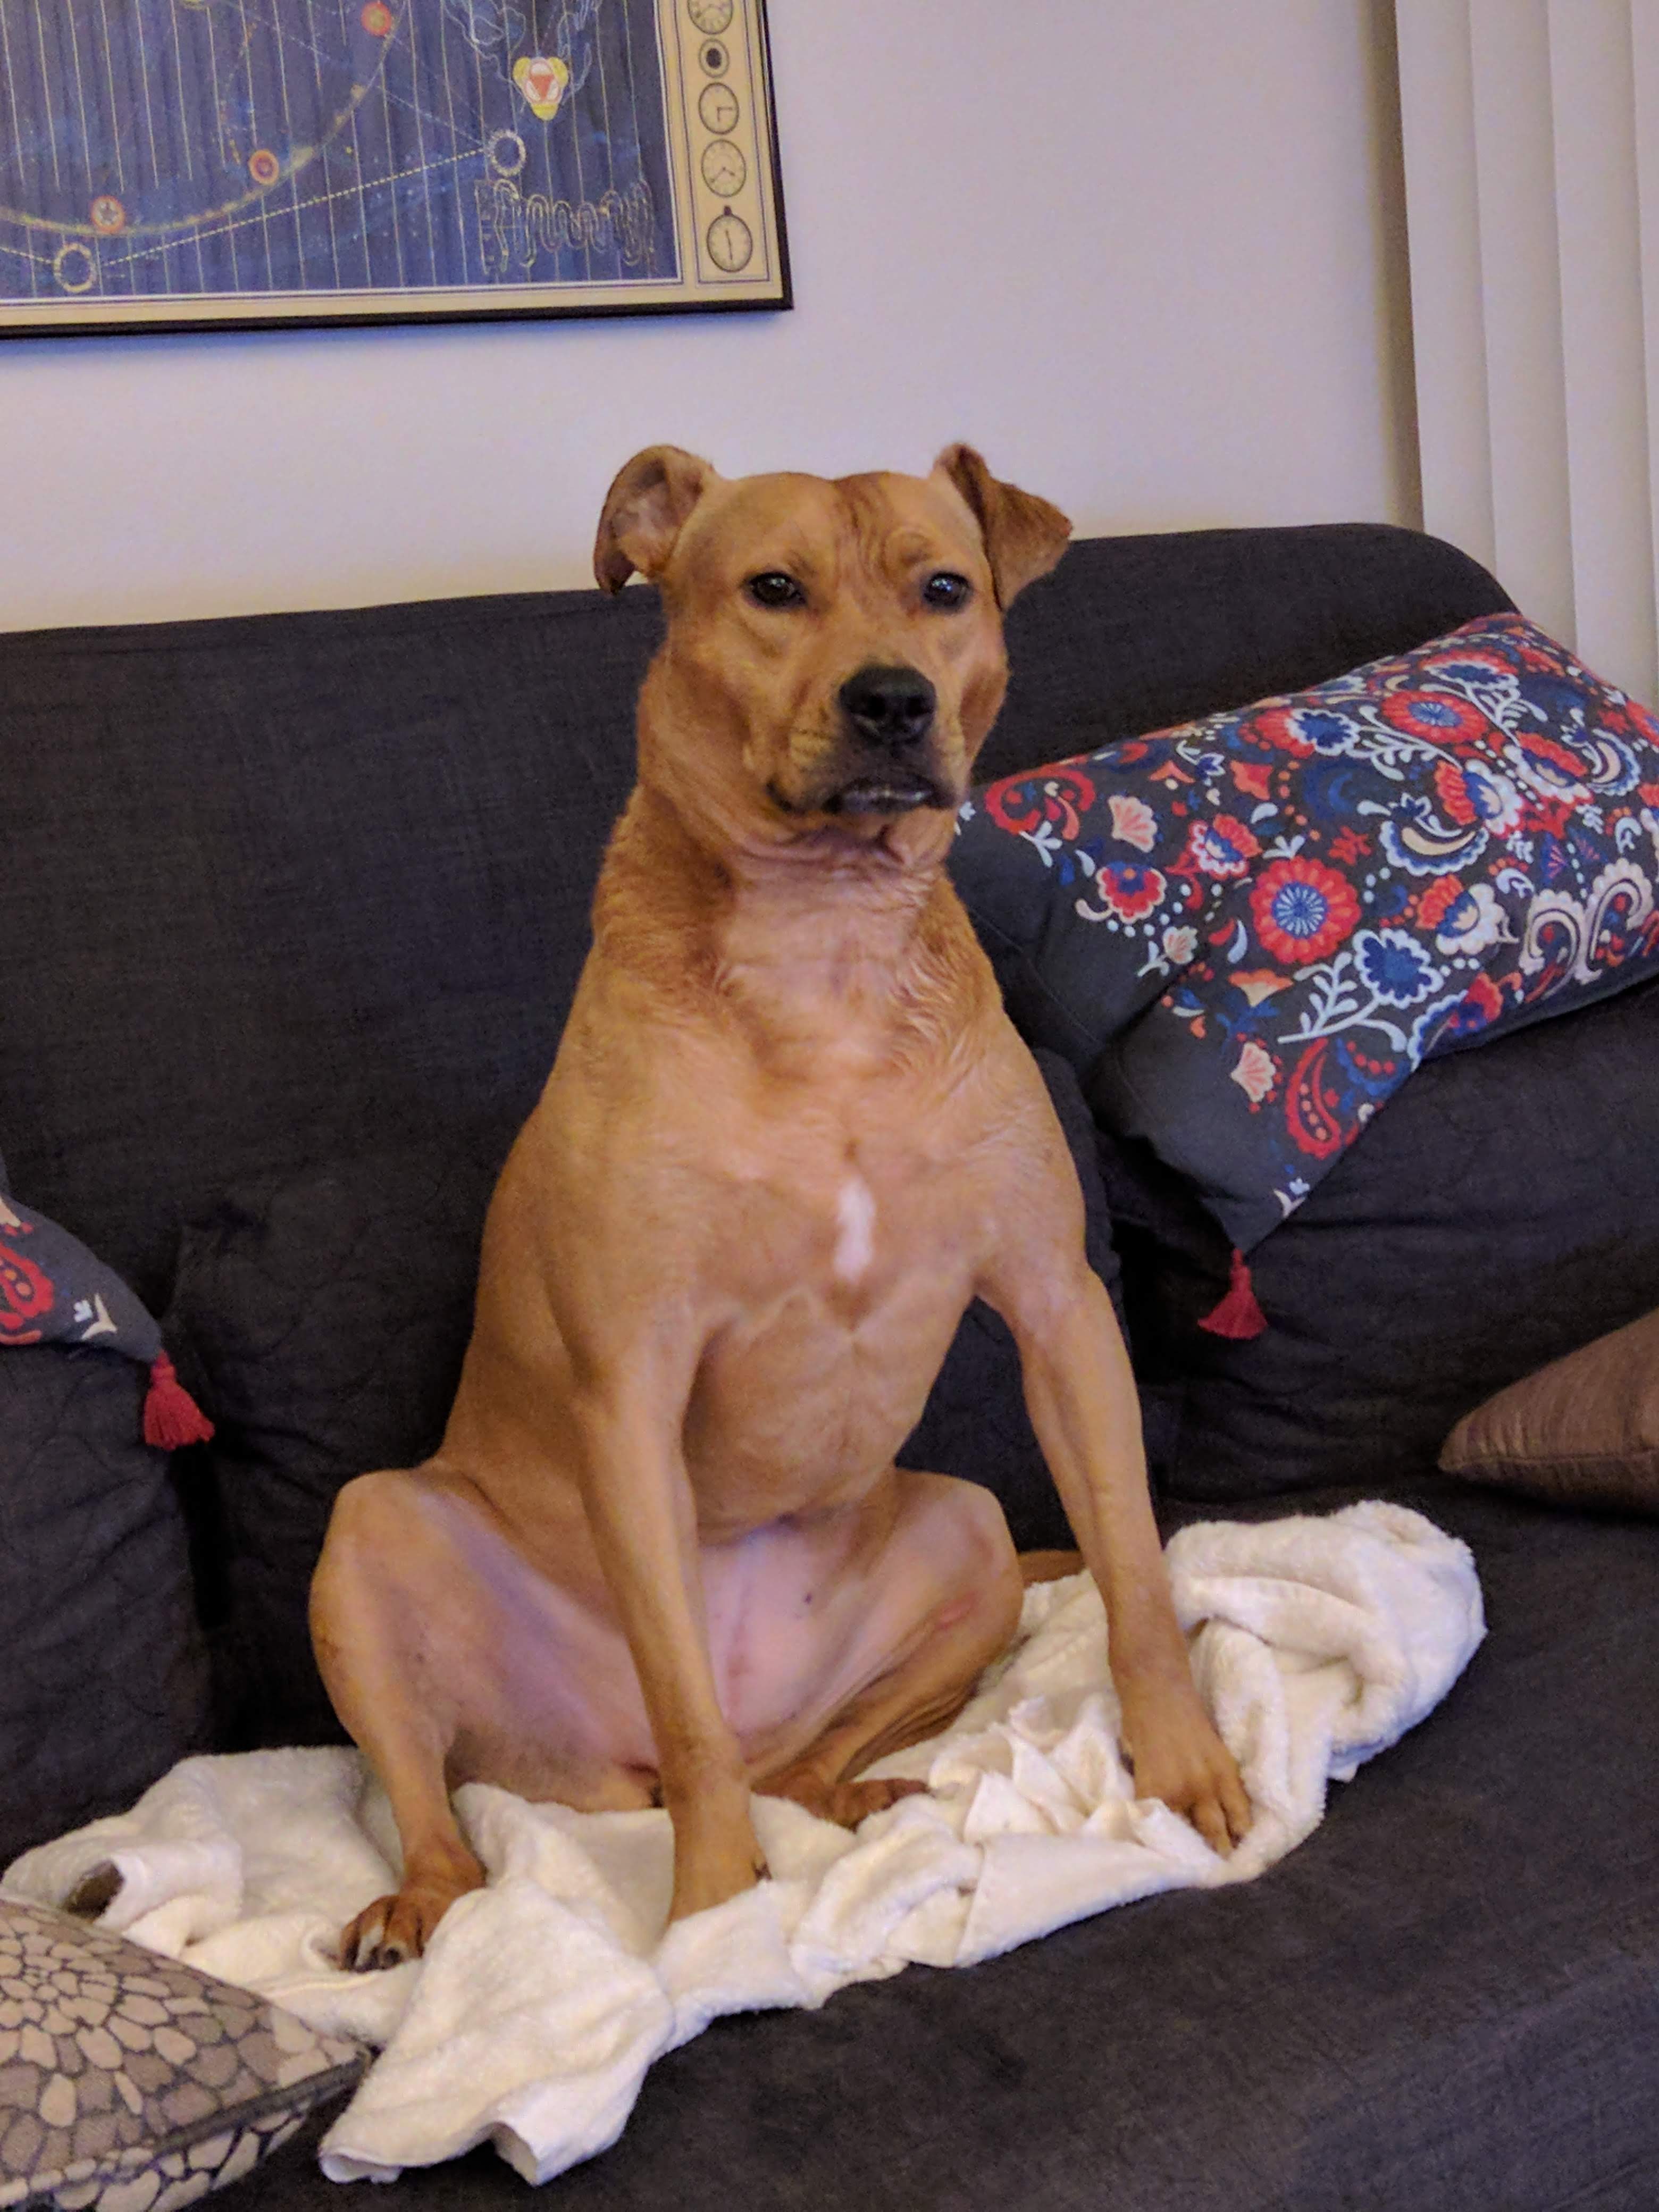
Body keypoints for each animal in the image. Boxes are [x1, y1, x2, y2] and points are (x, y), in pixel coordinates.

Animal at [312, 440, 1256, 1964]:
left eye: (945, 589)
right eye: (771, 589)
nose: (893, 700)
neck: (827, 946)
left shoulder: (1060, 1309)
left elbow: (1132, 1572)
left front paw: (1182, 1769)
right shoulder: (631, 1388)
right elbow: (687, 1713)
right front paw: (709, 1916)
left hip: (968, 1534)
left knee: (801, 1763)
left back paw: (858, 1795)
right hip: (370, 1541)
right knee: (477, 1801)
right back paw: (422, 1902)